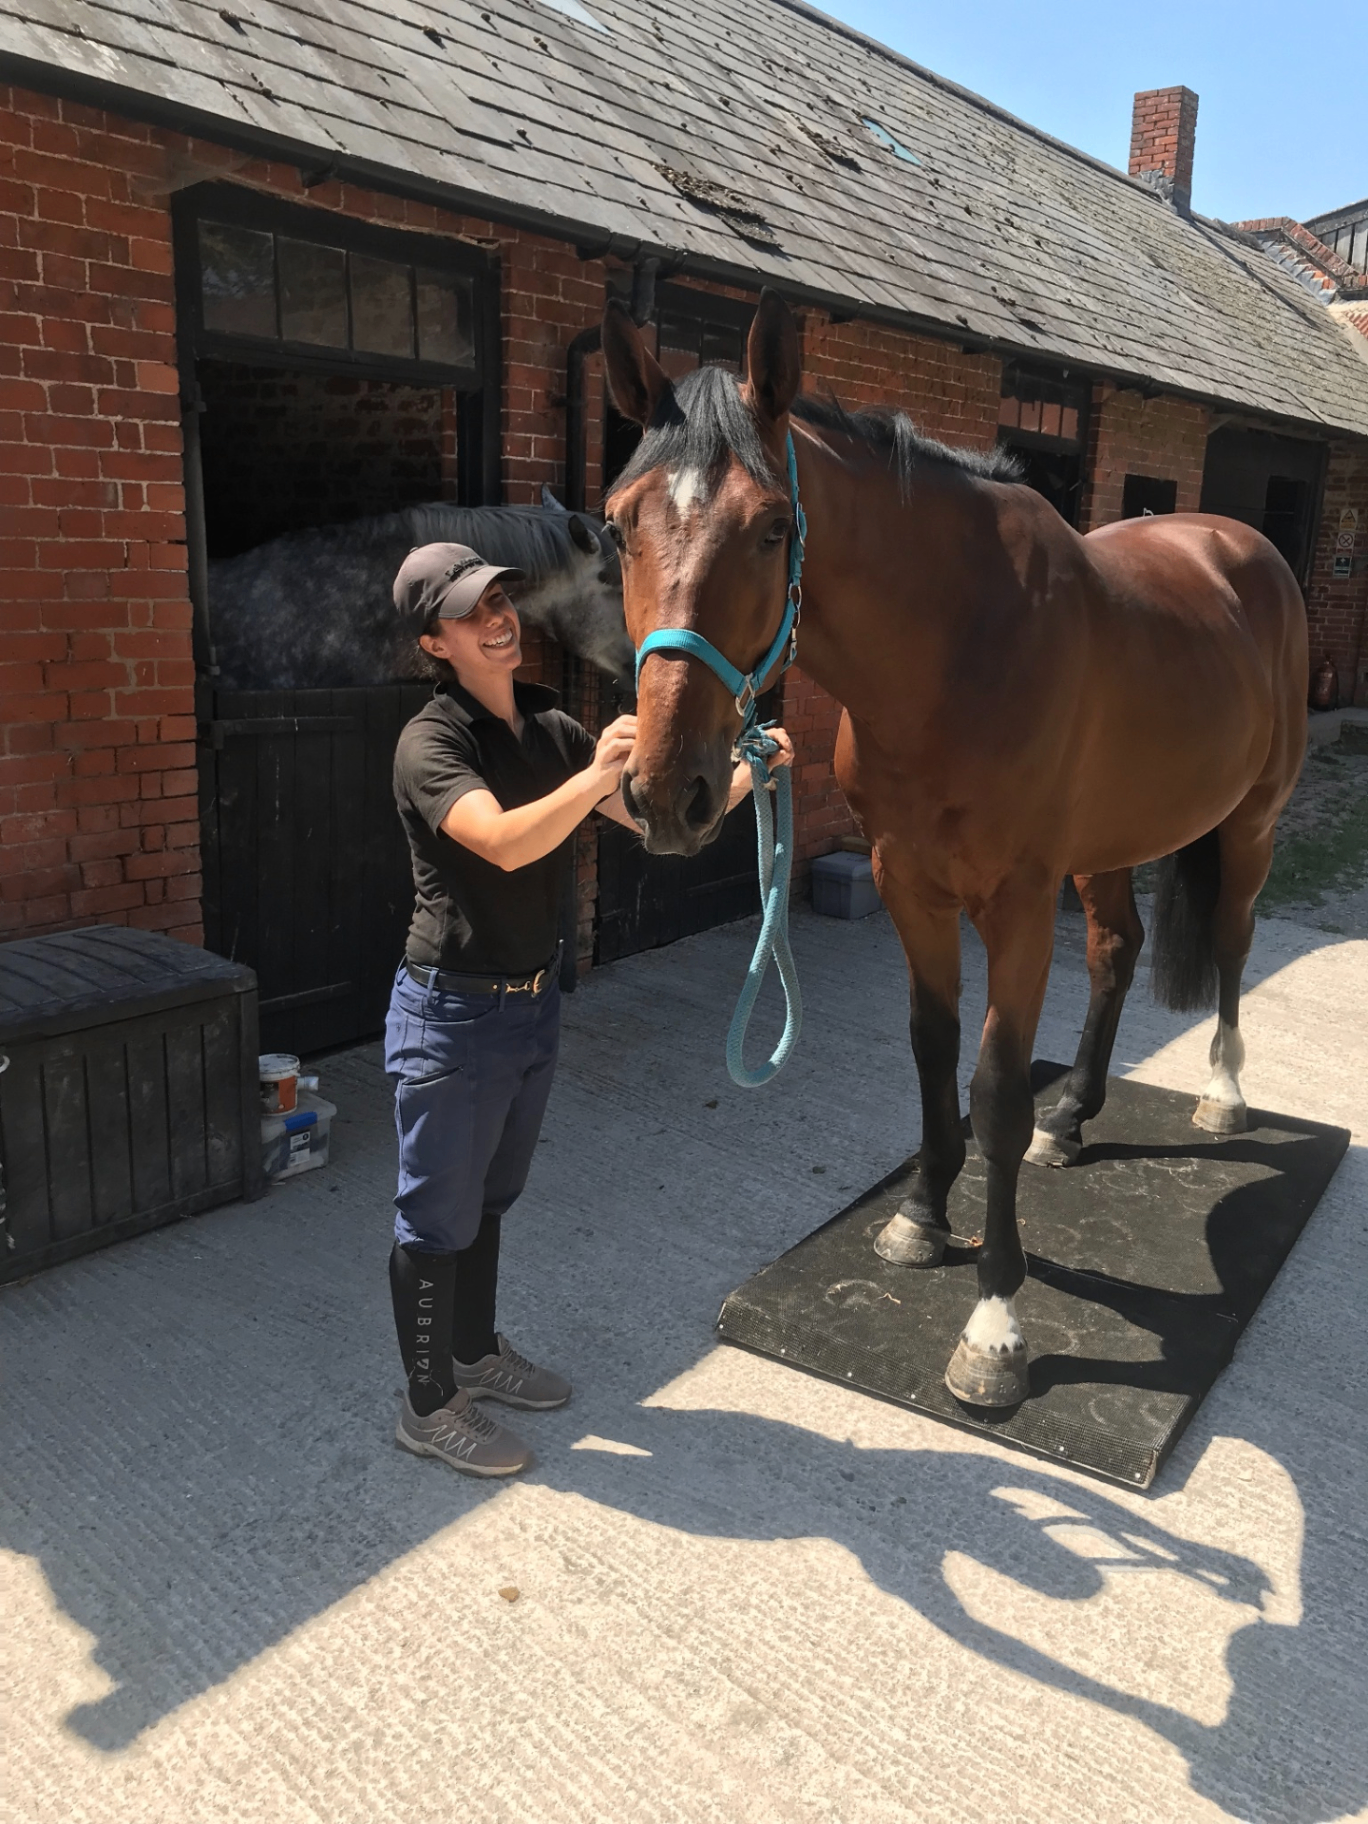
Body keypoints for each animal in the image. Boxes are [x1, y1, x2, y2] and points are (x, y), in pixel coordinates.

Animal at [601, 289, 1307, 1410]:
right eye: (619, 523)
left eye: (772, 527)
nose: (669, 792)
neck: (961, 643)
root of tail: (1245, 548)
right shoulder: (909, 885)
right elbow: (933, 1048)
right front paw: (922, 1219)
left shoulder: (1013, 906)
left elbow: (994, 1090)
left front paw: (995, 1325)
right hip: (1109, 844)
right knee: (1115, 951)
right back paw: (1077, 1117)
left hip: (1249, 825)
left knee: (1232, 947)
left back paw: (1222, 1095)